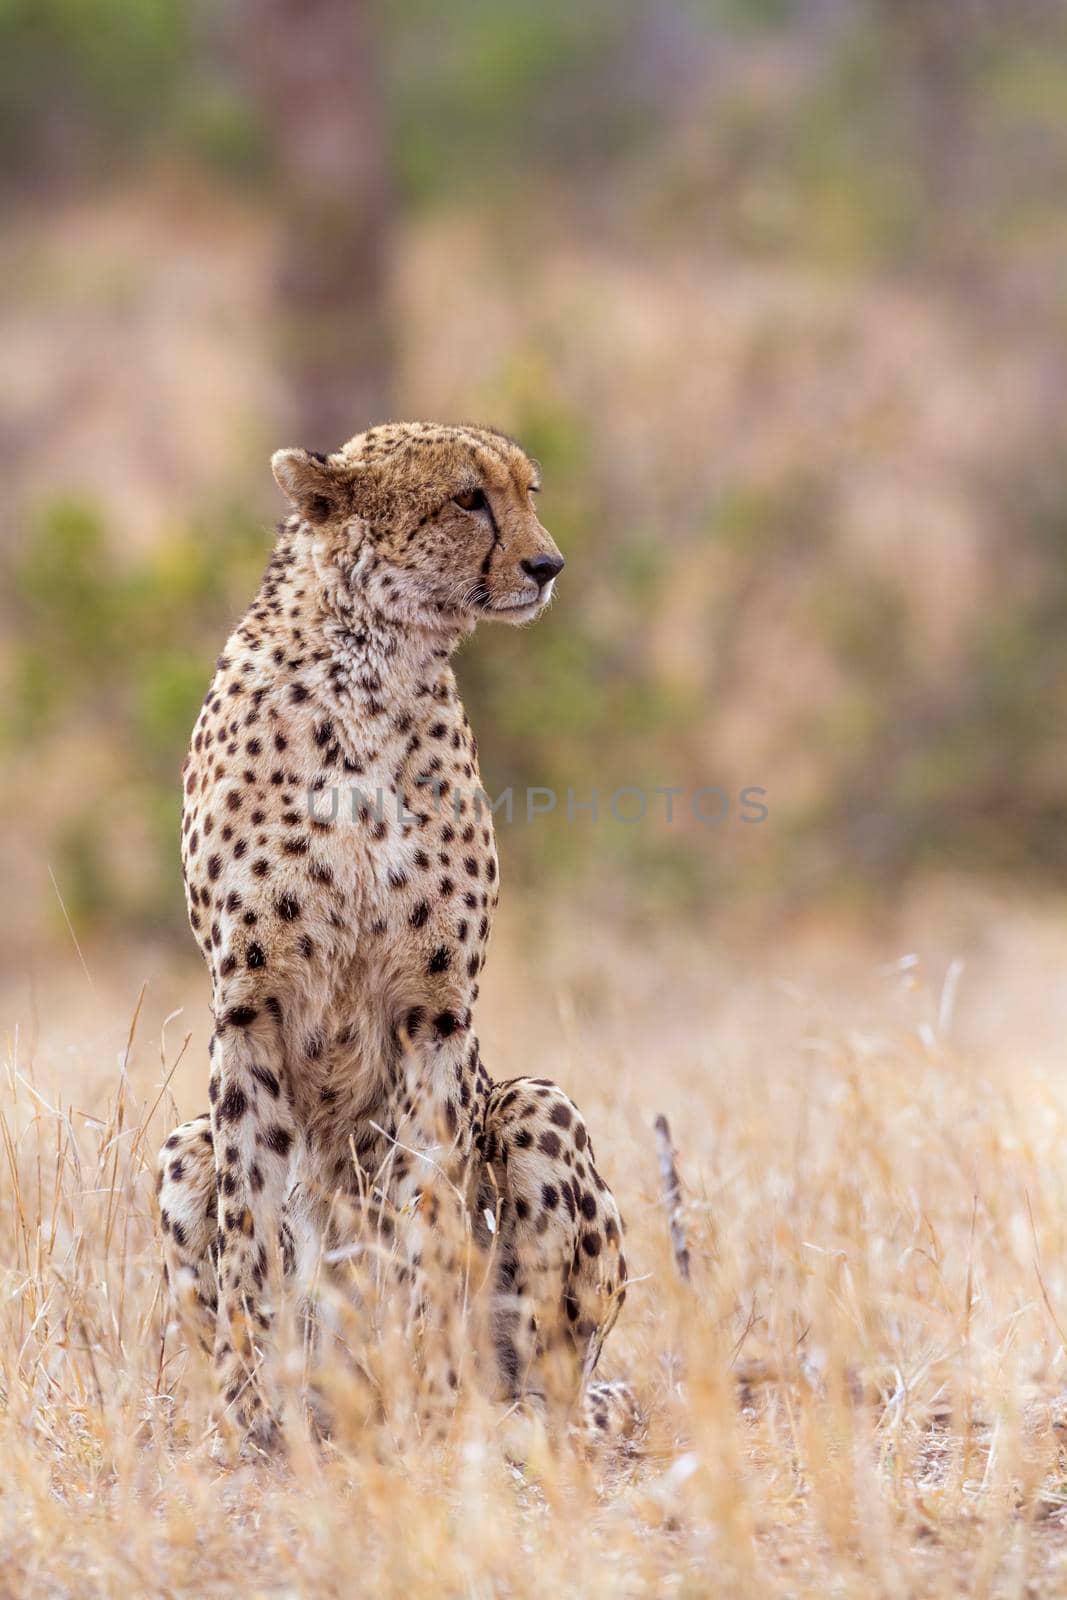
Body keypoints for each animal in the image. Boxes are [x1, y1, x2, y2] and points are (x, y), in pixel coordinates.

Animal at [156, 425, 627, 1452]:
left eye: (527, 491)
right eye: (466, 498)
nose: (548, 565)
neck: (369, 673)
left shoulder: (434, 1013)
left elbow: (430, 1214)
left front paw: (432, 1395)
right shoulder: (246, 1010)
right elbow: (251, 1230)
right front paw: (249, 1406)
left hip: (534, 1106)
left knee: (555, 1366)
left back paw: (508, 1412)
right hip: (180, 1144)